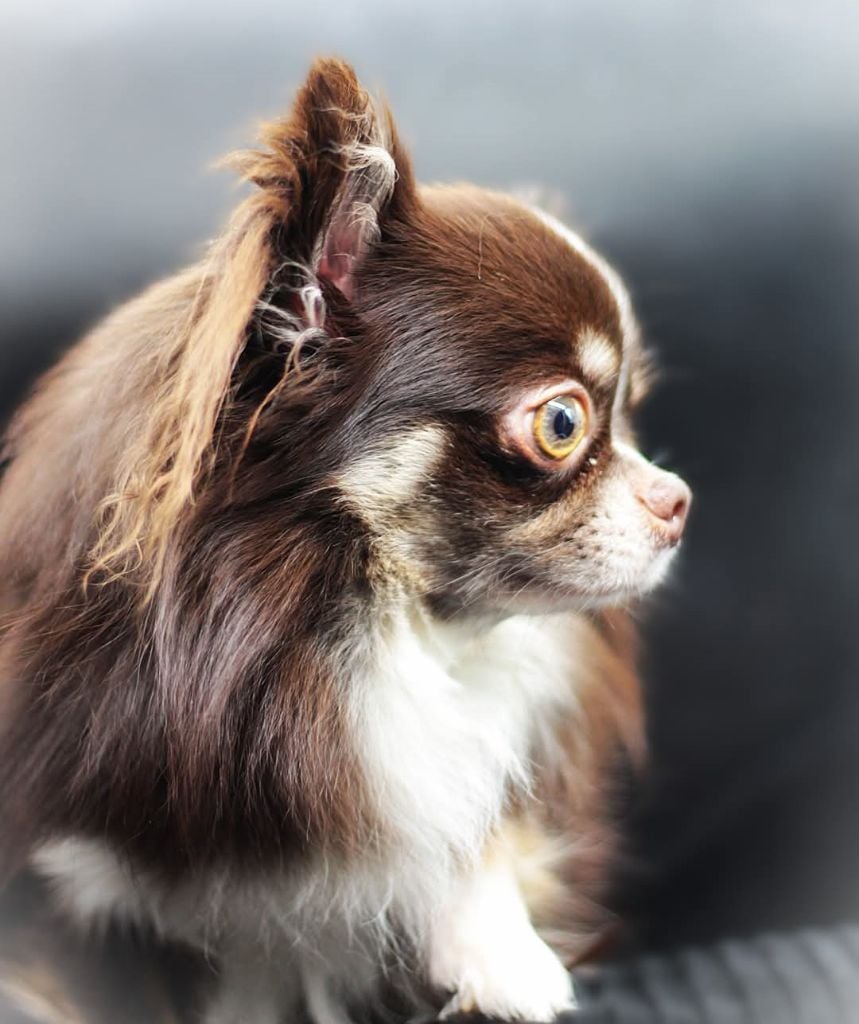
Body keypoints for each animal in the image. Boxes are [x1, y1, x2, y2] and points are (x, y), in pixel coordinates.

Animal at [0, 58, 690, 1023]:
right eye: (562, 424)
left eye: (630, 412)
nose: (678, 499)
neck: (360, 636)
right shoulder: (75, 878)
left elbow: (467, 818)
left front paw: (497, 952)